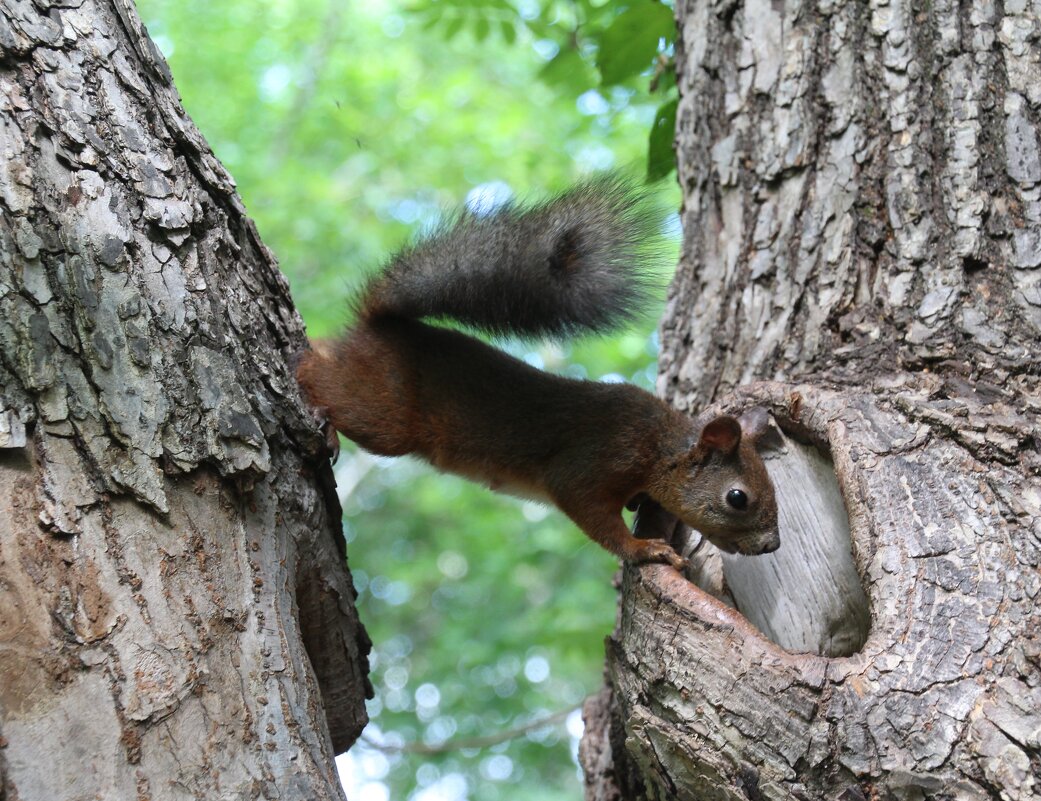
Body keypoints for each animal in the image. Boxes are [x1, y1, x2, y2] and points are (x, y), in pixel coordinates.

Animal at [297, 174, 778, 566]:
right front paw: (644, 550)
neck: (659, 446)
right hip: (386, 413)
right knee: (320, 378)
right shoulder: (589, 466)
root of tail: (375, 329)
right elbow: (595, 517)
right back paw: (314, 397)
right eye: (737, 498)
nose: (771, 544)